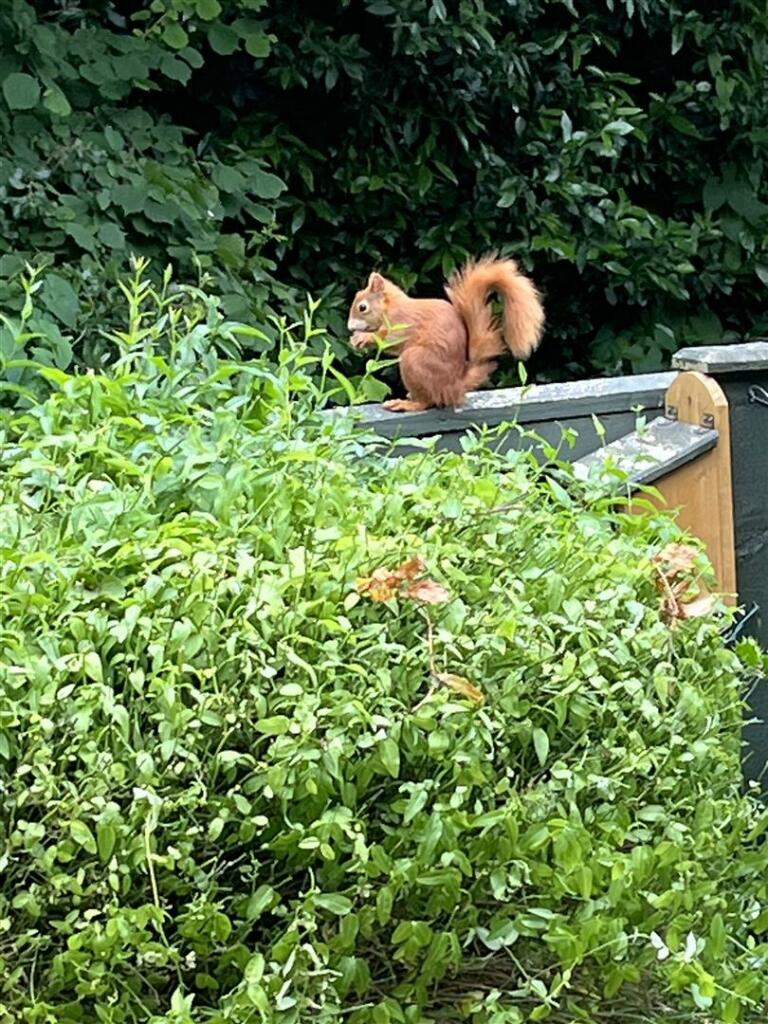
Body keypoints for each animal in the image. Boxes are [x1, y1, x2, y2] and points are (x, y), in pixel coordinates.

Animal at [346, 254, 544, 412]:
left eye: (362, 307)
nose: (349, 327)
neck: (391, 307)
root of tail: (455, 386)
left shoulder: (401, 323)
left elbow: (389, 339)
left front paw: (363, 338)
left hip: (414, 360)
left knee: (426, 401)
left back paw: (406, 403)